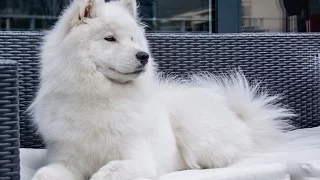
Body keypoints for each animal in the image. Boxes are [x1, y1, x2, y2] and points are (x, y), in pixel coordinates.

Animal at [31, 0, 294, 179]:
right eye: (110, 39)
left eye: (133, 39)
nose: (143, 56)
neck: (100, 96)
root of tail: (239, 119)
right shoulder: (65, 158)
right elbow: (43, 174)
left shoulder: (137, 158)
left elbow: (109, 171)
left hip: (191, 128)